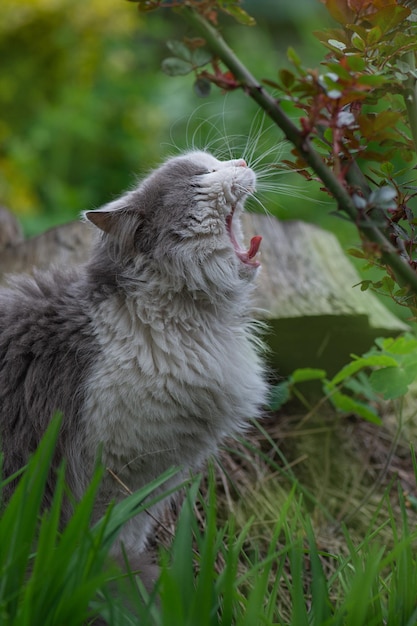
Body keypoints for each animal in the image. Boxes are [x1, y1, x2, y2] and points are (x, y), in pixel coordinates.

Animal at [0, 151, 266, 580]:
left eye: (216, 159)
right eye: (205, 173)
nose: (240, 160)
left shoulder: (159, 474)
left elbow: (131, 531)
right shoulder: (109, 473)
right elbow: (102, 537)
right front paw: (106, 576)